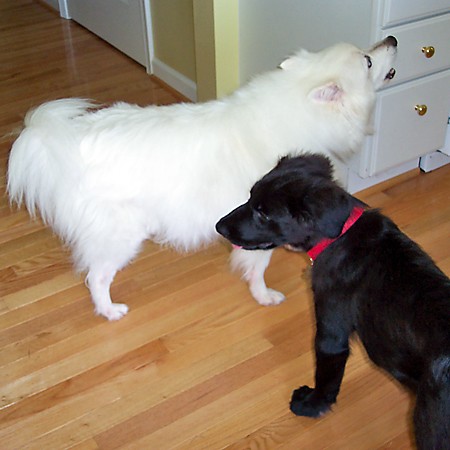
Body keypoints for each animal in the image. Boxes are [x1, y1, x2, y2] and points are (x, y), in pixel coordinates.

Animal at [6, 37, 394, 320]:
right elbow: (258, 268)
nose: (391, 38)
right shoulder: (262, 227)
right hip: (120, 236)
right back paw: (110, 310)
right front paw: (264, 296)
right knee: (96, 276)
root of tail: (65, 141)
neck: (297, 107)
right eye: (367, 61)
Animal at [216, 154, 448, 446]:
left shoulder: (331, 333)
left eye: (264, 213)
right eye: (250, 196)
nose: (219, 227)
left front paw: (311, 405)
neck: (340, 236)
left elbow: (327, 376)